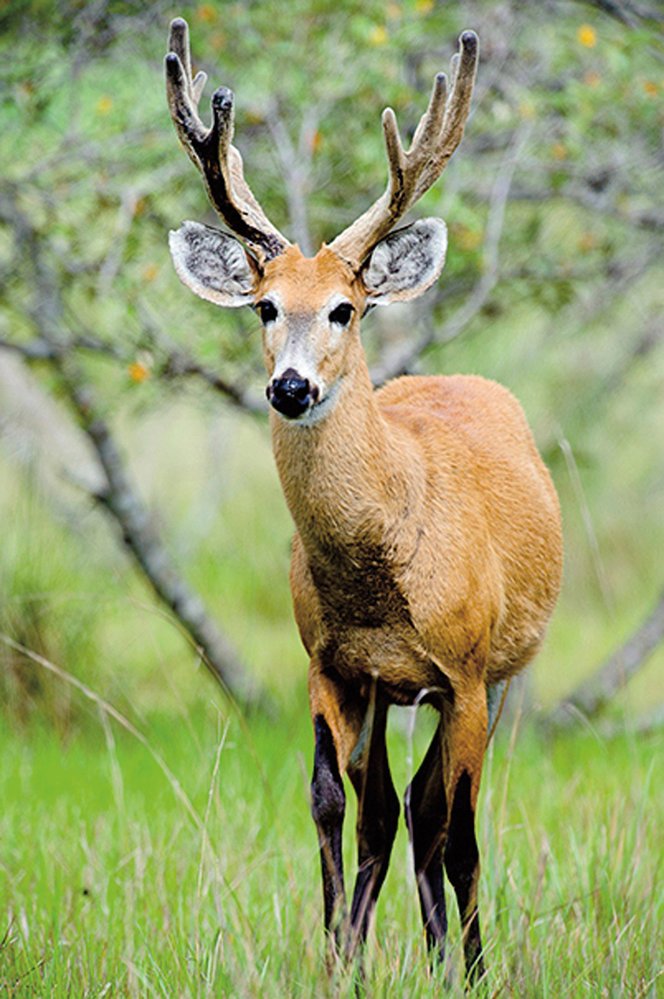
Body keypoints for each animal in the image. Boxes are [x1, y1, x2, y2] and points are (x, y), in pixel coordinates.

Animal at [163, 17, 564, 984]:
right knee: (393, 806)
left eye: (345, 308)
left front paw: (475, 974)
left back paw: (452, 958)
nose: (291, 388)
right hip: (391, 692)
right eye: (264, 306)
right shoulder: (328, 660)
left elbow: (462, 833)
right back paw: (405, 949)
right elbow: (329, 804)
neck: (381, 571)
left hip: (496, 674)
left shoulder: (465, 669)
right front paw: (338, 959)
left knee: (434, 813)